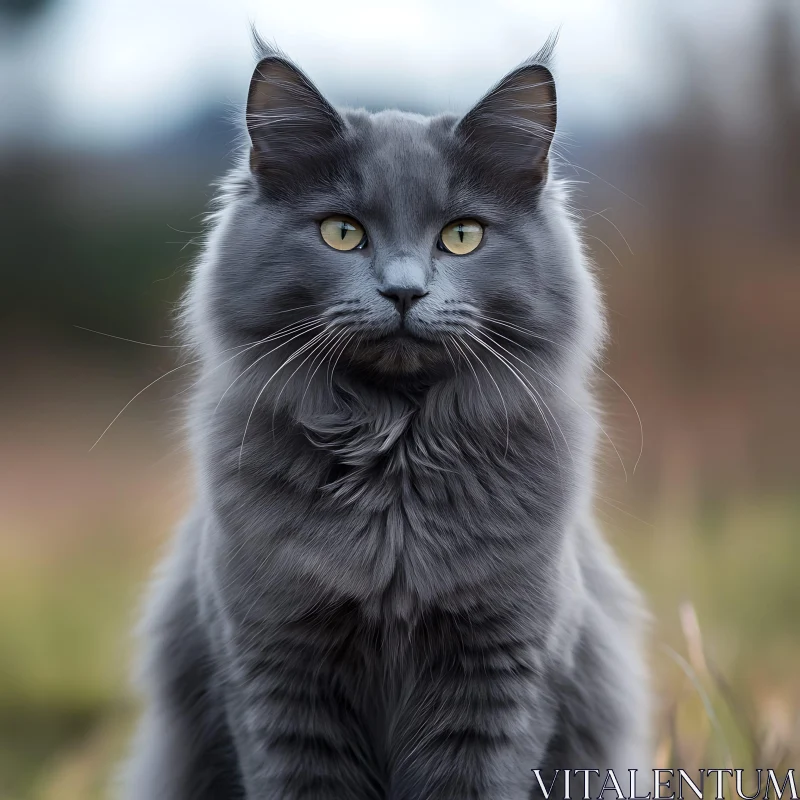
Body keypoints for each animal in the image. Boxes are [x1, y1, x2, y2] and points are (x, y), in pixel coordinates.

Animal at [123, 36, 648, 800]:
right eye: (343, 232)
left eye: (461, 236)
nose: (404, 291)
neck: (395, 457)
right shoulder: (274, 674)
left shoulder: (502, 670)